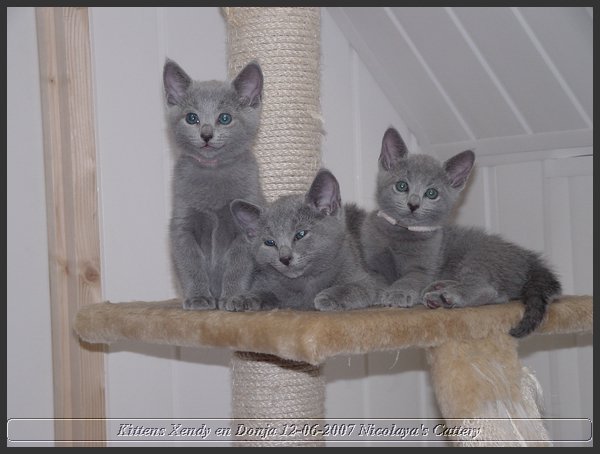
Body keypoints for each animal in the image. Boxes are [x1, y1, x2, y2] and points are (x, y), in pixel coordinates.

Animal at [165, 59, 266, 308]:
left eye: (225, 118)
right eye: (192, 118)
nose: (206, 134)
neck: (213, 169)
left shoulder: (246, 227)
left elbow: (238, 264)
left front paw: (233, 297)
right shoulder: (182, 225)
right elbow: (190, 263)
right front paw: (199, 297)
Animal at [221, 168, 384, 310]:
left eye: (300, 234)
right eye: (270, 242)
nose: (284, 258)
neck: (306, 282)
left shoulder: (366, 280)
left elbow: (354, 288)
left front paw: (328, 296)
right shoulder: (266, 283)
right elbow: (264, 292)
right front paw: (242, 298)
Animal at [360, 127, 564, 336]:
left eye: (431, 193)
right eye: (402, 186)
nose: (413, 204)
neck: (400, 233)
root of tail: (529, 259)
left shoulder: (424, 269)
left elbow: (411, 278)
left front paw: (397, 292)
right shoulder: (370, 261)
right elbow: (375, 276)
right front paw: (379, 290)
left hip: (477, 256)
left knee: (490, 290)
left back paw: (446, 296)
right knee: (500, 293)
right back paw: (439, 289)